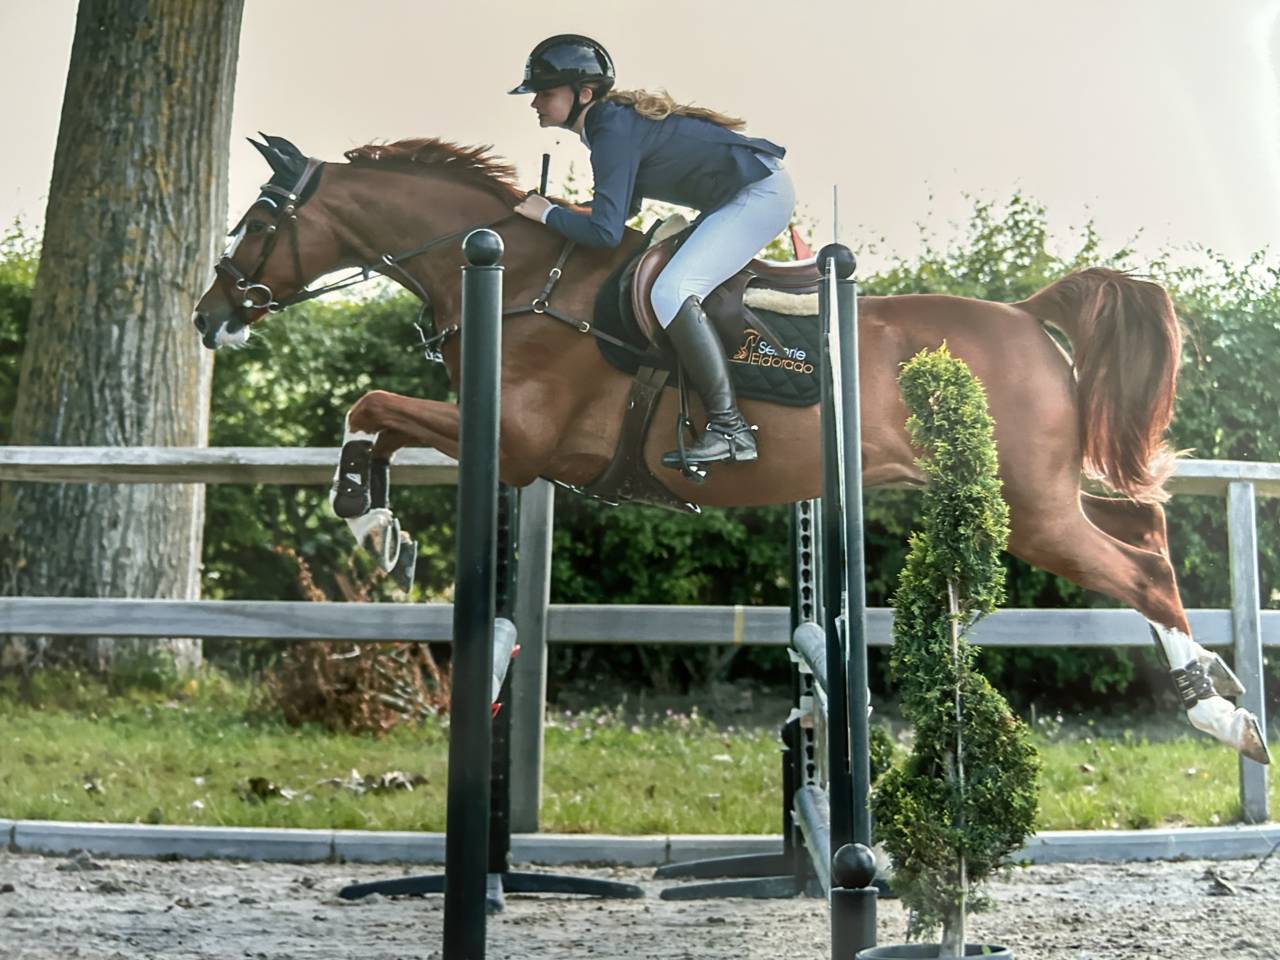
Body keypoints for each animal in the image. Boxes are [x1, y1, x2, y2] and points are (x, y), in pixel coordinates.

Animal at [193, 134, 1269, 766]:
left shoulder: (518, 441)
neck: (529, 279)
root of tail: (1025, 312)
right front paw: (378, 520)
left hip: (1027, 510)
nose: (208, 316)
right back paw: (1217, 688)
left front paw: (368, 519)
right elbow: (372, 412)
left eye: (254, 221)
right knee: (1142, 525)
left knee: (1136, 567)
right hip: (1036, 495)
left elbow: (369, 400)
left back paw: (1220, 716)